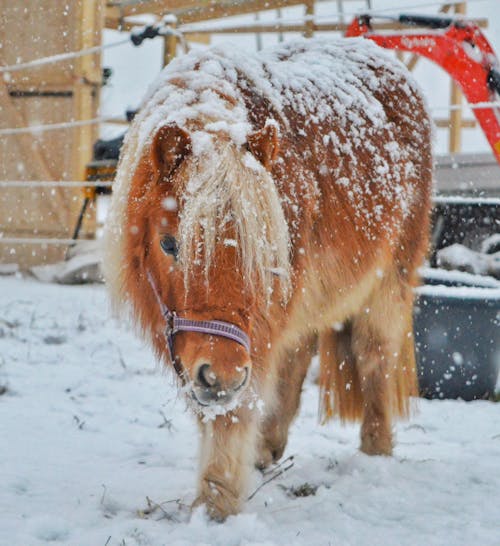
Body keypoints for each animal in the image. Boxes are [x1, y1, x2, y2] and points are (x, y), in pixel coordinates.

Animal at [104, 37, 434, 520]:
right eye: (169, 244)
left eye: (264, 248)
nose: (220, 377)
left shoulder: (252, 336)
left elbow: (232, 413)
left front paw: (217, 502)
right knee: (298, 355)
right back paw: (268, 449)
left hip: (388, 281)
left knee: (374, 355)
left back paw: (376, 450)